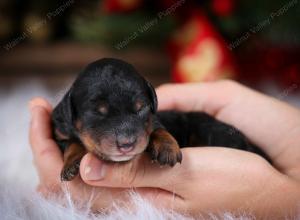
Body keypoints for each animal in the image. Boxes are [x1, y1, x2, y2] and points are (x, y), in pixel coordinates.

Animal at [52, 57, 268, 181]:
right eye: (98, 112)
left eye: (141, 108)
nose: (127, 145)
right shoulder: (60, 131)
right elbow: (72, 142)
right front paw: (72, 163)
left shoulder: (153, 120)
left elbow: (157, 128)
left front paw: (166, 148)